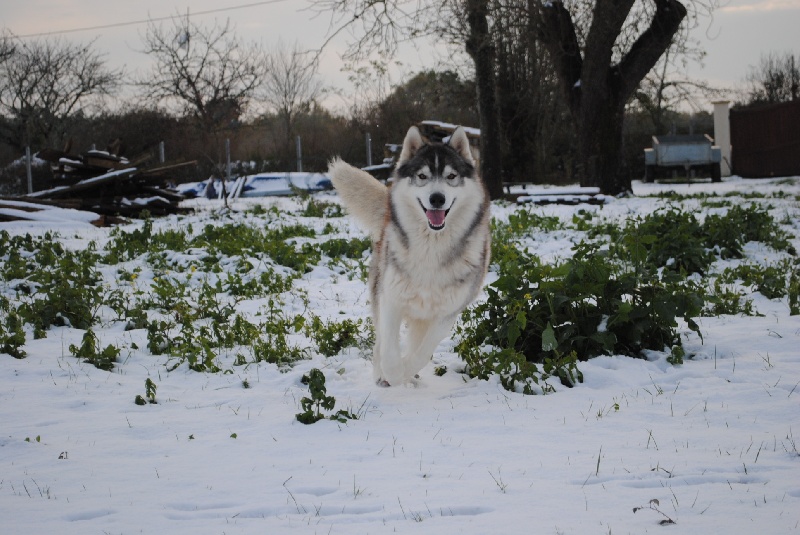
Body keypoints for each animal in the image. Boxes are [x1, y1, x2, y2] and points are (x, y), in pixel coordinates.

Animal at [326, 125, 490, 386]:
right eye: (422, 176)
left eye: (451, 176)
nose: (437, 198)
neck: (431, 248)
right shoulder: (391, 298)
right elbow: (390, 350)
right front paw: (392, 374)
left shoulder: (447, 312)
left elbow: (422, 353)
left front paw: (406, 372)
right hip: (379, 289)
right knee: (380, 344)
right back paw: (382, 375)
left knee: (415, 343)